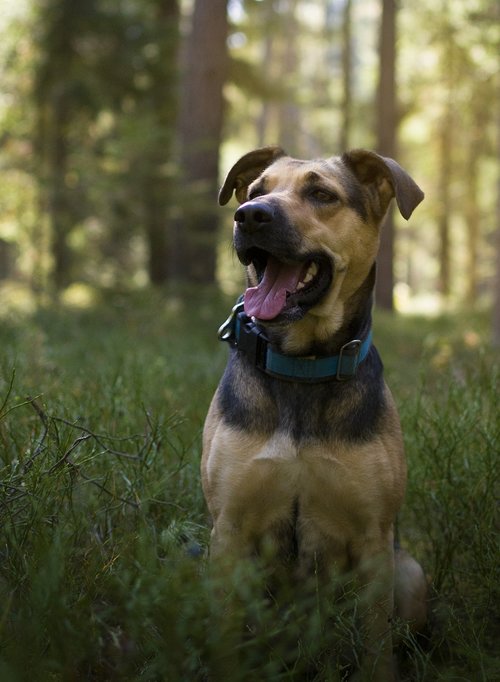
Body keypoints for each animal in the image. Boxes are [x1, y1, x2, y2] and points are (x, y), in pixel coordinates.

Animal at [201, 146, 428, 676]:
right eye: (256, 190)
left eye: (322, 194)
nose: (250, 216)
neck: (302, 366)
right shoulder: (229, 531)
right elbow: (223, 636)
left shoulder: (373, 539)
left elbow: (376, 646)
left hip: (409, 570)